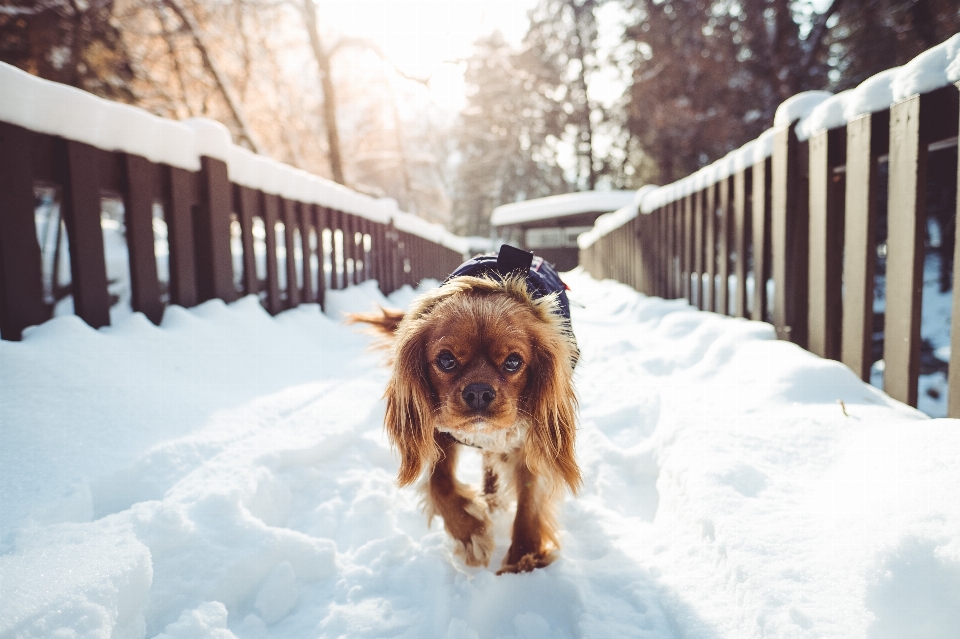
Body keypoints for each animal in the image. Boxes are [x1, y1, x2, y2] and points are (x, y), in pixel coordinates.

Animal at [350, 245, 580, 576]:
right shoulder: (441, 434)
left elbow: (529, 500)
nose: (479, 392)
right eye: (446, 360)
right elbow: (440, 485)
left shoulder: (529, 441)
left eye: (513, 362)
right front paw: (471, 534)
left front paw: (523, 559)